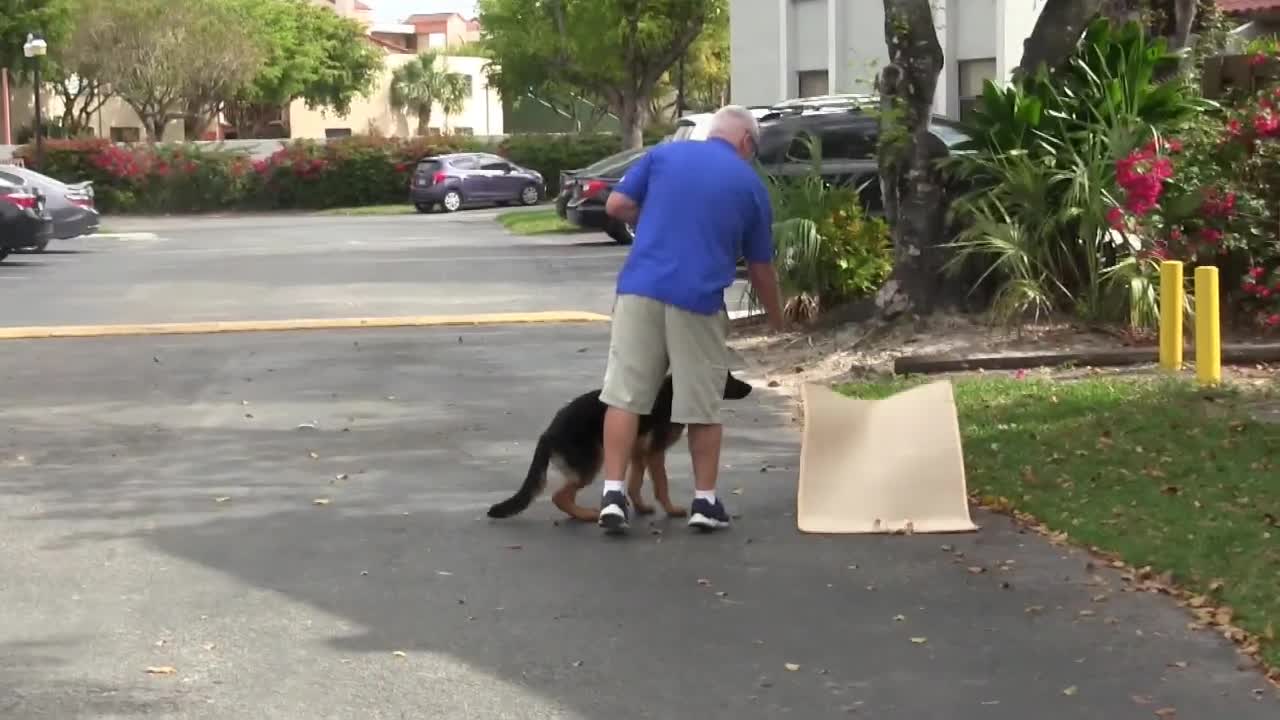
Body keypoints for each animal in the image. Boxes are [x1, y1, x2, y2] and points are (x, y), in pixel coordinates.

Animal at [486, 371, 747, 517]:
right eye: (727, 378)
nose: (749, 388)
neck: (675, 393)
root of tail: (548, 432)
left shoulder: (638, 455)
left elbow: (634, 484)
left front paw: (641, 507)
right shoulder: (655, 454)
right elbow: (661, 485)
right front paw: (671, 510)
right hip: (591, 465)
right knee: (559, 496)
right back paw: (586, 516)